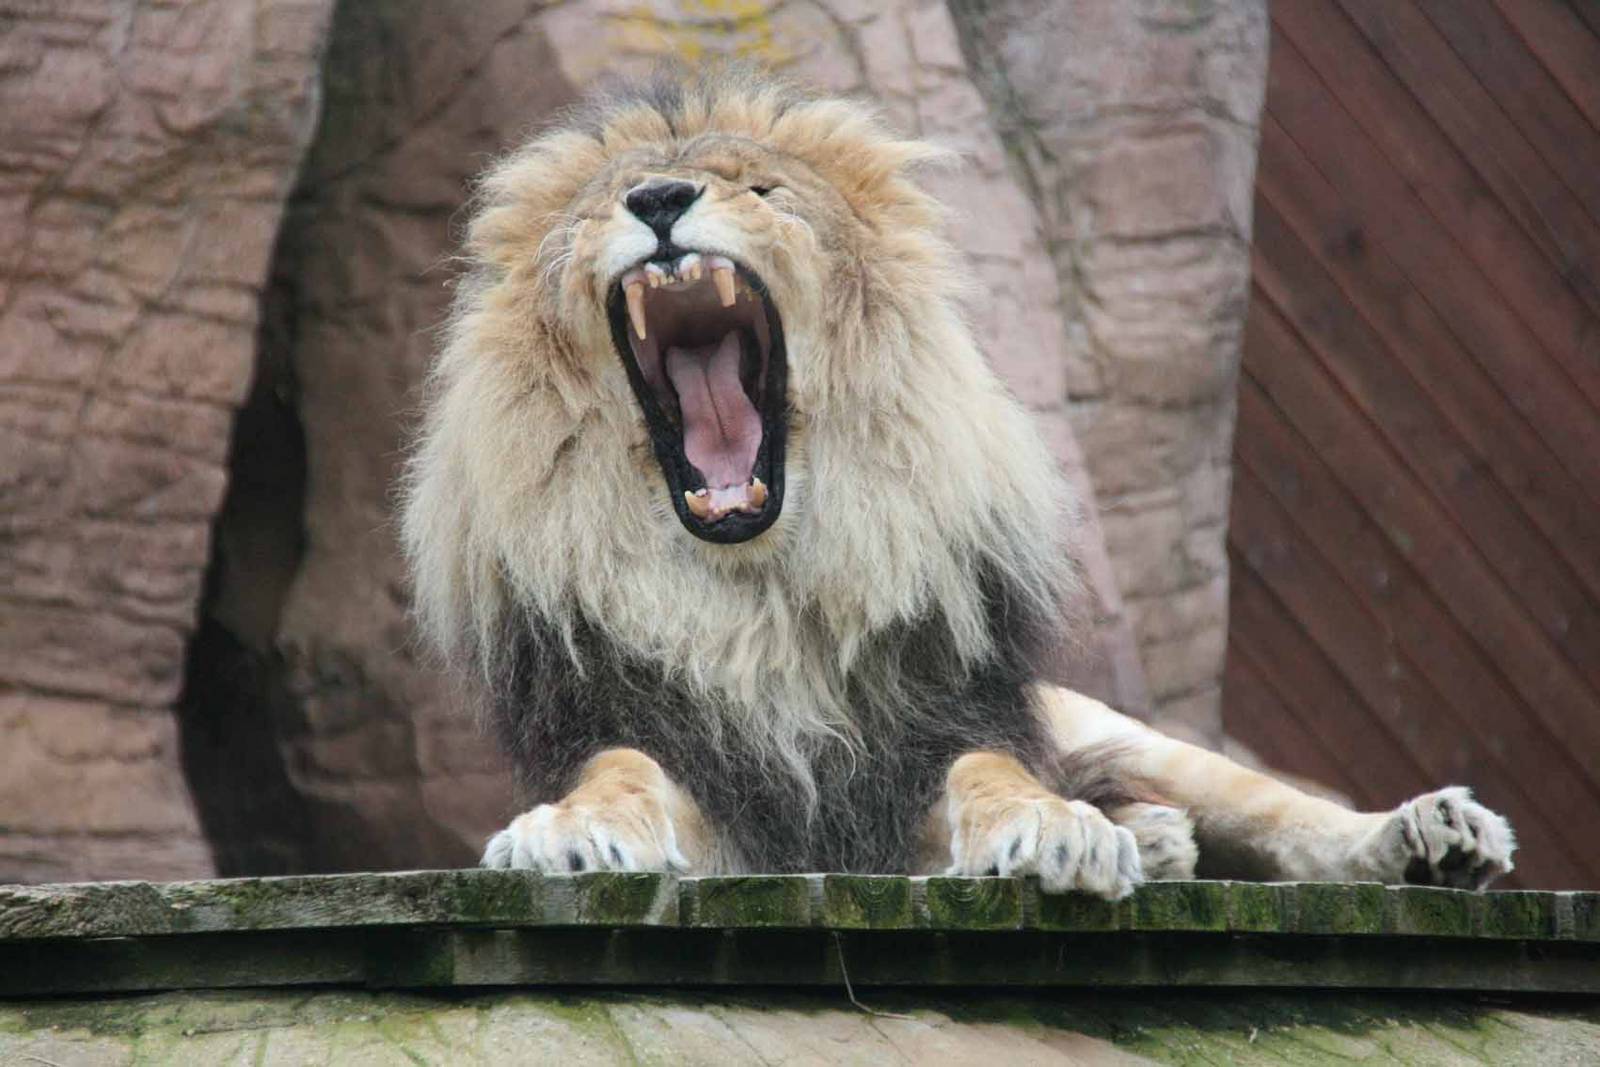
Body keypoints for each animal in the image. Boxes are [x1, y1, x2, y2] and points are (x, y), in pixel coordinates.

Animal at [401, 69, 1515, 899]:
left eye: (761, 193)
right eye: (601, 207)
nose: (660, 201)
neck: (760, 593)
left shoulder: (927, 749)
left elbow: (994, 772)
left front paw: (1057, 832)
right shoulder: (695, 766)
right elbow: (621, 773)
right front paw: (568, 831)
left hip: (1115, 727)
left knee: (1281, 813)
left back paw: (1425, 831)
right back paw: (1161, 840)